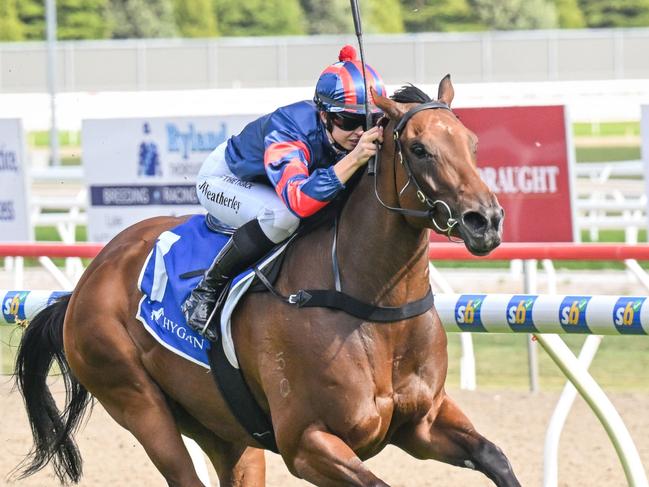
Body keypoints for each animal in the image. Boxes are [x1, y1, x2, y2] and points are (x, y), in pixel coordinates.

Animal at [15, 77, 520, 487]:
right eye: (419, 149)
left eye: (472, 144)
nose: (486, 221)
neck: (373, 304)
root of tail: (85, 283)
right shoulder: (307, 442)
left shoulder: (422, 423)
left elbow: (494, 456)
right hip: (138, 402)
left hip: (223, 428)